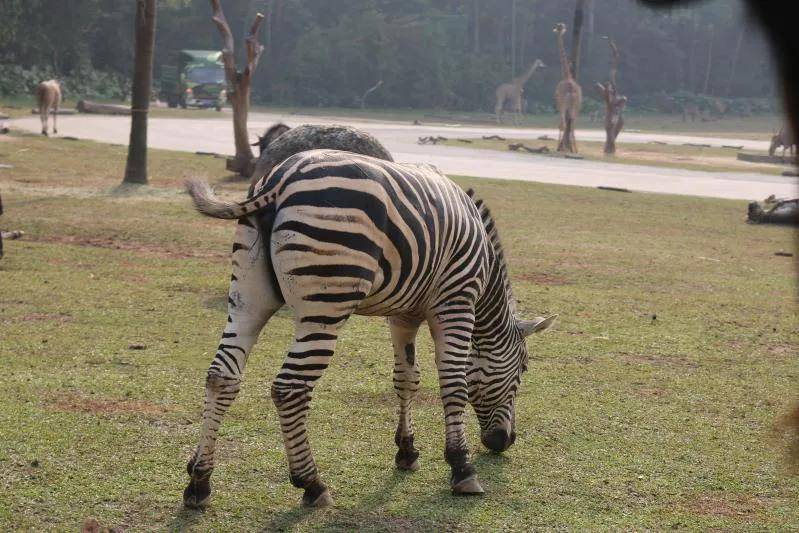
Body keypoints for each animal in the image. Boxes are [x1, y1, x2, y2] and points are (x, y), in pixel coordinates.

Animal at [183, 150, 556, 508]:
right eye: (524, 369)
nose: (505, 441)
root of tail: (283, 176)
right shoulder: (456, 303)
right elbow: (454, 385)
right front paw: (462, 467)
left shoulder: (404, 315)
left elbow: (407, 379)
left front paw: (407, 451)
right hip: (325, 303)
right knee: (289, 389)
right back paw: (311, 483)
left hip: (248, 295)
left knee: (221, 376)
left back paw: (199, 480)